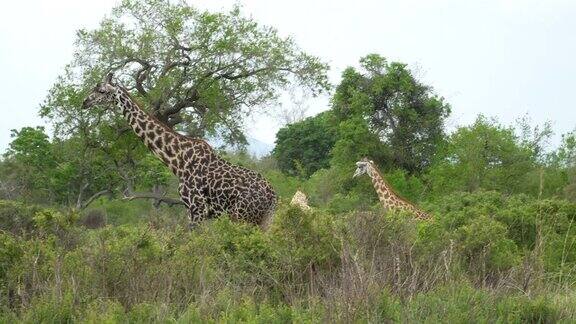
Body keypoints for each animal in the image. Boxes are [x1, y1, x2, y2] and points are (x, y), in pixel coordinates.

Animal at [82, 73, 278, 229]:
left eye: (101, 91)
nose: (85, 102)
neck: (178, 161)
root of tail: (274, 197)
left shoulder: (197, 208)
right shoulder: (193, 211)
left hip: (242, 217)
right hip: (261, 221)